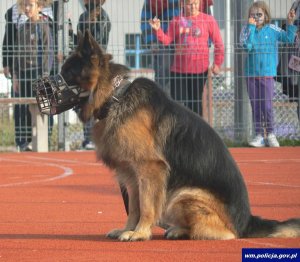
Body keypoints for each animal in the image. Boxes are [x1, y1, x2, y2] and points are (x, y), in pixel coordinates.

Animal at [55, 30, 298, 242]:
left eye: (67, 73)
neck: (115, 97)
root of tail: (247, 222)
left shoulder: (150, 169)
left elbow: (146, 206)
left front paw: (140, 232)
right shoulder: (131, 175)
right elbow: (133, 207)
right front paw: (128, 229)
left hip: (182, 196)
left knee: (226, 234)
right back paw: (178, 229)